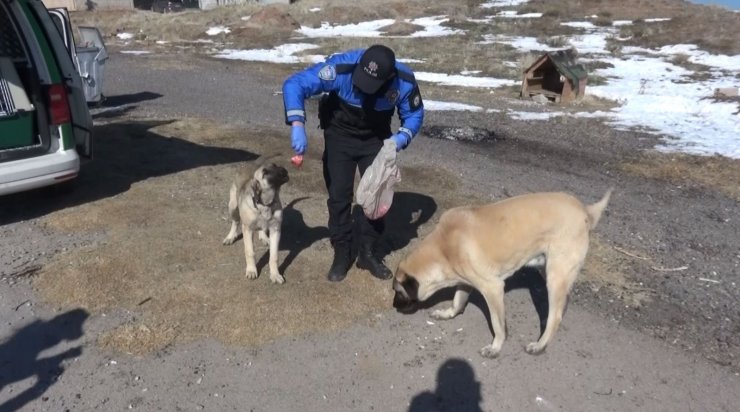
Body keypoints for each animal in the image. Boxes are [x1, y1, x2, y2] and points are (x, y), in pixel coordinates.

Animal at [223, 153, 290, 284]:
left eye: (275, 165)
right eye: (265, 173)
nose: (283, 170)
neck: (266, 204)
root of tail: (253, 163)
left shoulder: (276, 230)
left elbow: (274, 256)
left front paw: (275, 274)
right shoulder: (247, 229)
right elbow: (250, 252)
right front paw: (251, 270)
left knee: (262, 227)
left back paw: (263, 236)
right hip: (232, 207)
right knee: (235, 222)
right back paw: (230, 237)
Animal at [394, 189, 612, 358]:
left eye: (398, 292)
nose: (394, 306)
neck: (443, 248)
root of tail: (585, 211)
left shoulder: (493, 288)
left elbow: (498, 324)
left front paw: (496, 347)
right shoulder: (465, 280)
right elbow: (458, 300)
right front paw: (448, 313)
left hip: (555, 275)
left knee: (555, 315)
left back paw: (540, 344)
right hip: (548, 269)